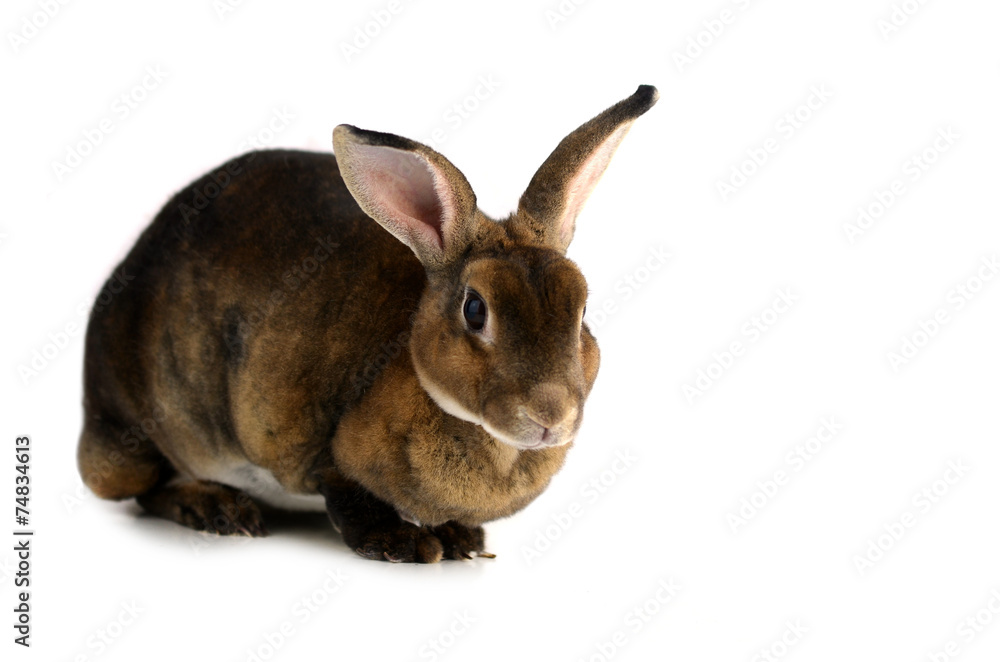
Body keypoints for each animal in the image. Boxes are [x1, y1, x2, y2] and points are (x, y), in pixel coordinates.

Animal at [77, 84, 658, 562]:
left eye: (582, 311)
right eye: (475, 310)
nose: (550, 416)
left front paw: (461, 540)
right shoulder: (323, 459)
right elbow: (348, 496)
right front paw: (405, 544)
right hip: (137, 435)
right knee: (145, 489)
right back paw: (218, 510)